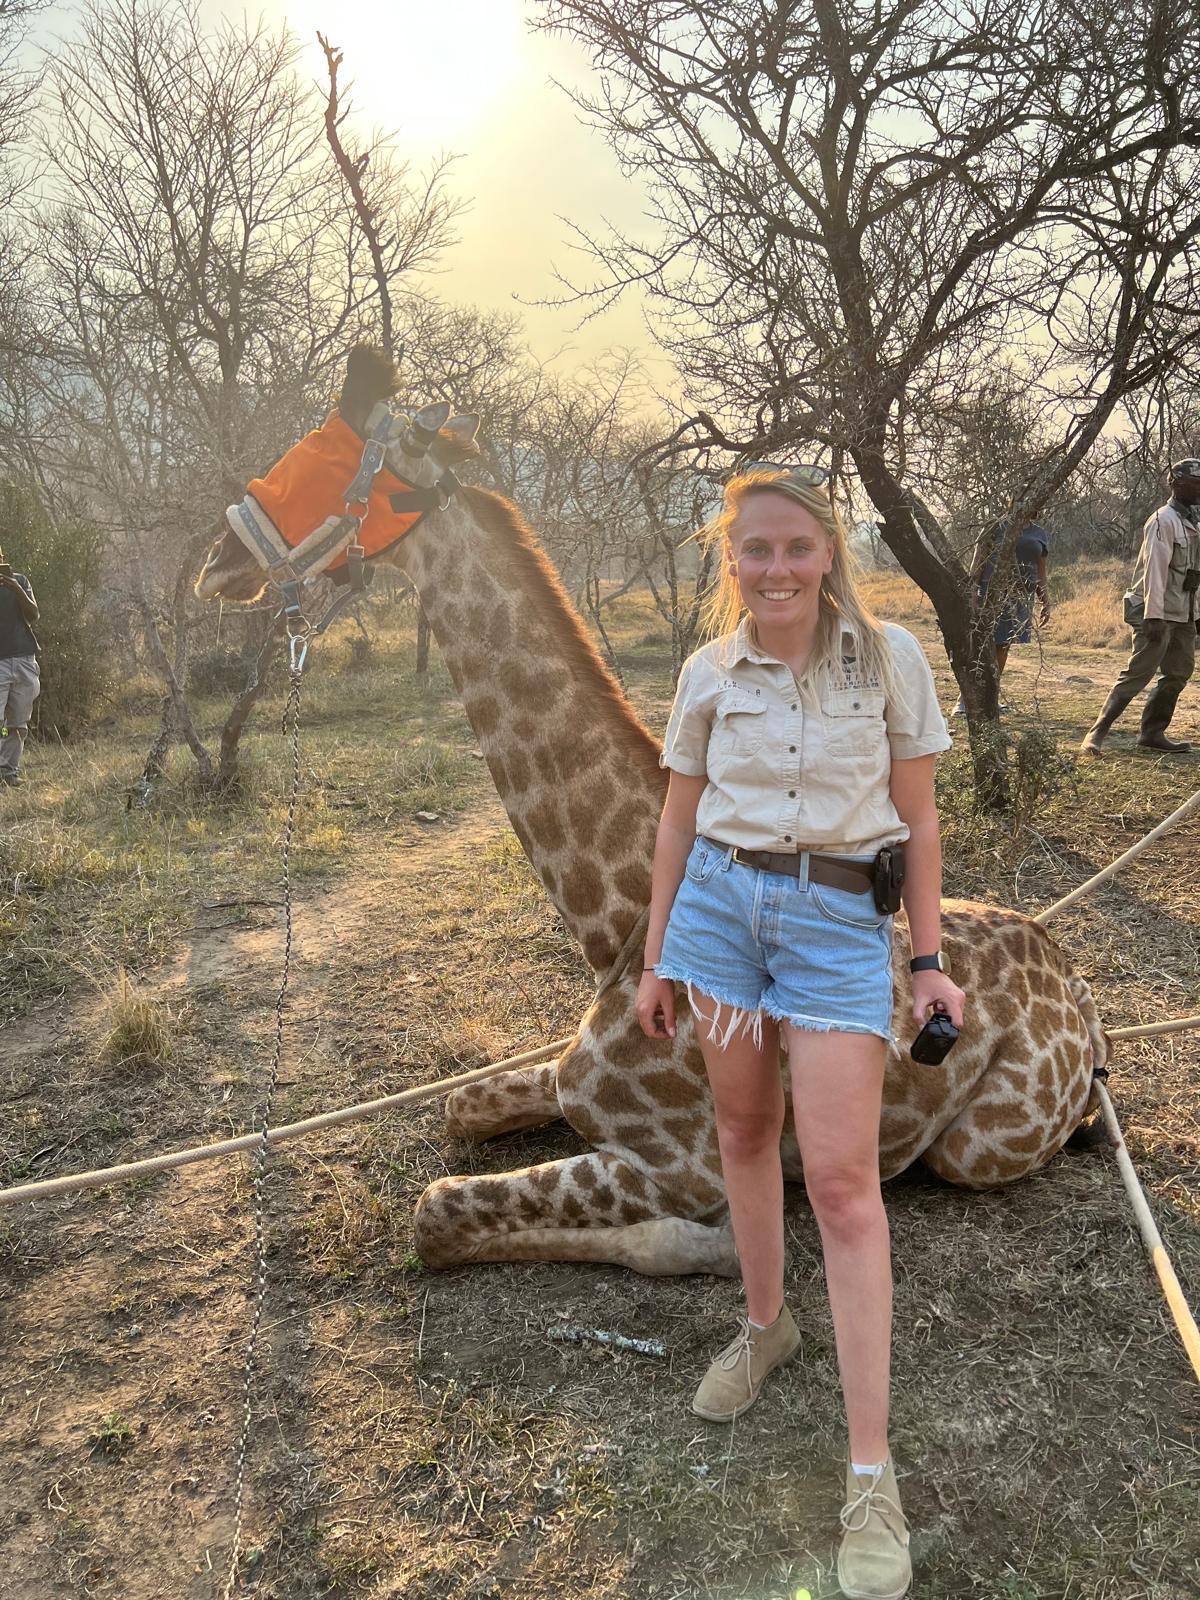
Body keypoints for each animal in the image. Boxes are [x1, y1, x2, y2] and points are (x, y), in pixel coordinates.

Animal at [196, 351, 1108, 1279]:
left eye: (322, 457)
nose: (216, 561)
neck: (616, 923)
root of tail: (1075, 982)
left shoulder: (680, 1161)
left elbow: (438, 1210)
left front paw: (720, 1245)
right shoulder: (566, 1083)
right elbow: (457, 1108)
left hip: (980, 1146)